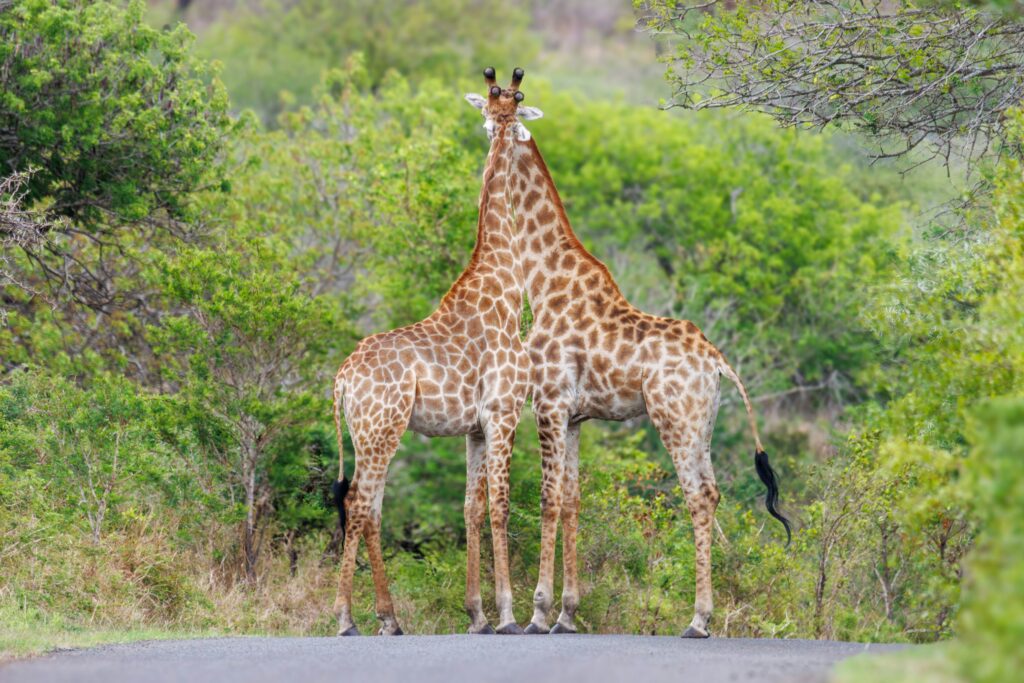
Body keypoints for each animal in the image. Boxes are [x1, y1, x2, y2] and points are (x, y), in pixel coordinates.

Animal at [332, 68, 534, 637]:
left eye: (505, 113)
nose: (505, 132)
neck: (504, 286)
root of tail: (340, 380)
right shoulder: (504, 413)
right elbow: (500, 505)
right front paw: (507, 615)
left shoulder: (474, 428)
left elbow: (470, 508)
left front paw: (477, 614)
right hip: (383, 428)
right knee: (359, 502)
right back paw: (346, 618)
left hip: (367, 433)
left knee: (371, 508)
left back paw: (389, 618)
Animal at [465, 78, 792, 639]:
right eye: (487, 119)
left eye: (506, 121)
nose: (493, 148)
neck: (543, 282)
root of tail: (718, 361)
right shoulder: (574, 417)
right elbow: (573, 499)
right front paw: (567, 614)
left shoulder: (548, 404)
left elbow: (549, 499)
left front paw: (537, 613)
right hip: (702, 422)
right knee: (713, 492)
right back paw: (701, 614)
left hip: (673, 418)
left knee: (697, 496)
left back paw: (698, 620)